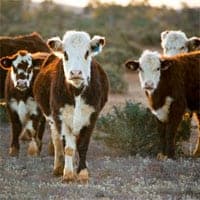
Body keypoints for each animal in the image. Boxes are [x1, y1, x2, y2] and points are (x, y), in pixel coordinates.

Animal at [34, 30, 109, 182]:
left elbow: (83, 145)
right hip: (52, 119)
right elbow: (67, 147)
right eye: (65, 54)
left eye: (87, 53)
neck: (77, 92)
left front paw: (83, 172)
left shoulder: (91, 117)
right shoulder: (60, 118)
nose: (75, 73)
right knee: (57, 141)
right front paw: (68, 173)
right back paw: (58, 167)